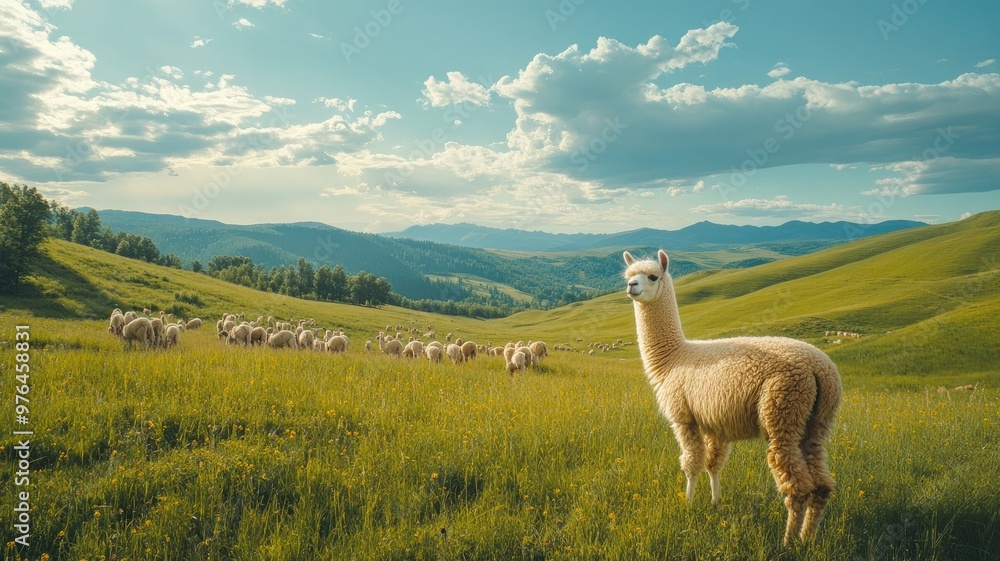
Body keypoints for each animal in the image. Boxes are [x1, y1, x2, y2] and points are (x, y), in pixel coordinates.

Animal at [623, 250, 841, 546]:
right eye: (628, 275)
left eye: (652, 276)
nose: (631, 286)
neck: (675, 358)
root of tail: (818, 369)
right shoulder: (716, 422)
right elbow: (713, 464)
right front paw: (715, 502)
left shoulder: (683, 417)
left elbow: (692, 463)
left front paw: (687, 504)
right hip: (818, 420)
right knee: (822, 484)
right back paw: (808, 538)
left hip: (782, 407)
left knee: (798, 487)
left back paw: (787, 542)